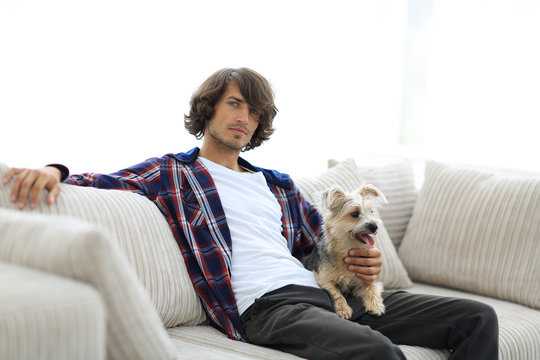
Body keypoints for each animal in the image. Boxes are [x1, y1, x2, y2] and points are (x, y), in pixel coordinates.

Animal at [304, 184, 388, 320]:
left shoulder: (364, 275)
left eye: (371, 212)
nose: (375, 227)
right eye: (355, 213)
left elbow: (371, 287)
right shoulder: (323, 279)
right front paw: (344, 309)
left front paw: (375, 305)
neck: (346, 250)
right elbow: (336, 293)